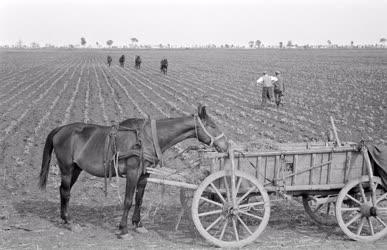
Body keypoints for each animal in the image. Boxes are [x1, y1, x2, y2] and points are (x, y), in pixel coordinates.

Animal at [38, 104, 229, 239]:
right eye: (212, 125)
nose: (226, 145)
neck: (148, 137)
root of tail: (60, 129)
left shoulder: (144, 174)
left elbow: (139, 199)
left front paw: (138, 224)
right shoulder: (132, 172)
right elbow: (128, 201)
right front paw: (123, 229)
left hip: (76, 169)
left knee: (63, 191)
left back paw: (64, 219)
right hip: (67, 169)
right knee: (66, 192)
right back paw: (69, 221)